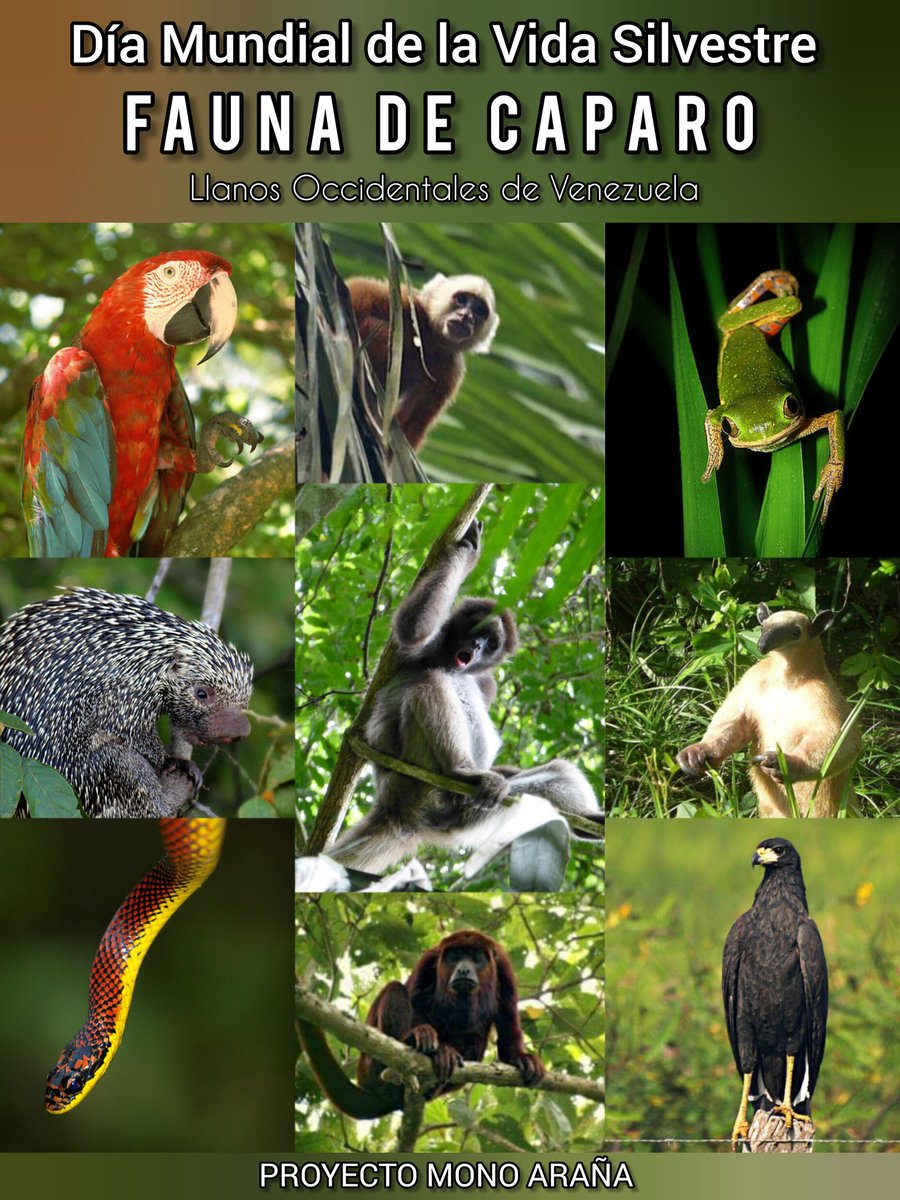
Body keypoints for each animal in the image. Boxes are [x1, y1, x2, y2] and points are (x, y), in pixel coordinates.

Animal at [297, 930, 545, 1118]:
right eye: (455, 956)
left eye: (475, 957)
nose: (463, 969)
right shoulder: (430, 959)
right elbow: (416, 1003)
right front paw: (423, 1035)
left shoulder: (503, 968)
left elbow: (509, 1024)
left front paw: (522, 1058)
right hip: (368, 1066)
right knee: (395, 989)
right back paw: (417, 1047)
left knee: (474, 1039)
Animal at [328, 520, 603, 874]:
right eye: (475, 631)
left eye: (490, 642)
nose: (475, 647)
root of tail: (396, 808)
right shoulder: (417, 649)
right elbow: (411, 630)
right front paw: (467, 552)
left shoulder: (486, 681)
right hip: (417, 781)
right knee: (430, 682)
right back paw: (461, 770)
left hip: (470, 813)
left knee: (557, 771)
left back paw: (589, 824)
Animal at [348, 273, 499, 450]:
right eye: (462, 299)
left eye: (479, 310)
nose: (466, 315)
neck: (430, 339)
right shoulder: (408, 302)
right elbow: (359, 290)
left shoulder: (451, 372)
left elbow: (414, 422)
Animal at [676, 604, 861, 817]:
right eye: (763, 626)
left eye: (796, 632)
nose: (762, 646)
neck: (786, 680)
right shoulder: (753, 682)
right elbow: (734, 722)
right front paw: (694, 756)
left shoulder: (823, 695)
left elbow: (840, 737)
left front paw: (781, 764)